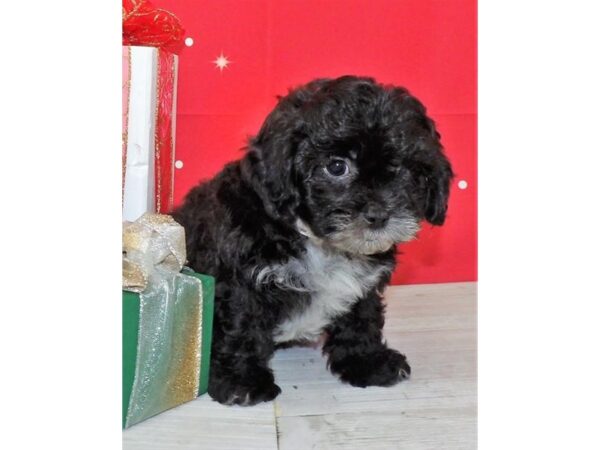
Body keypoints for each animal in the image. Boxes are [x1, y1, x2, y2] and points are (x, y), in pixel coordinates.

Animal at [171, 75, 452, 406]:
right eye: (336, 167)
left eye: (404, 170)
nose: (378, 215)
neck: (316, 240)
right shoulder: (239, 281)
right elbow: (241, 327)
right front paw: (242, 381)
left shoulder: (364, 285)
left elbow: (361, 319)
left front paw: (366, 361)